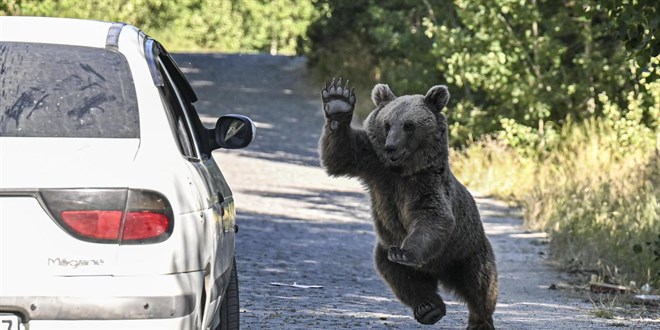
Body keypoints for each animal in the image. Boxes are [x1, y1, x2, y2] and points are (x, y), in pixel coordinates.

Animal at [318, 78, 496, 328]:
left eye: (408, 125)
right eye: (387, 124)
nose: (390, 147)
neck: (402, 171)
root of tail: (439, 272)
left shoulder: (427, 185)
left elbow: (432, 217)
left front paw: (405, 252)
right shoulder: (373, 164)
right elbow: (340, 156)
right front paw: (338, 102)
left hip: (466, 251)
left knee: (479, 283)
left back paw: (479, 319)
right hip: (386, 248)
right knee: (402, 276)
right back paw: (428, 308)